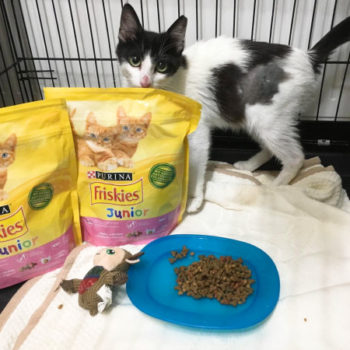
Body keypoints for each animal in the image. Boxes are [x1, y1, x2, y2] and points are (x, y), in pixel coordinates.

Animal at [115, 3, 350, 213]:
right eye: (135, 60)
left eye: (162, 66)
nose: (145, 81)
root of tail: (307, 57)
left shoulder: (199, 131)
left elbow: (197, 161)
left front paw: (194, 200)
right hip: (253, 114)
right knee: (270, 146)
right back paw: (248, 166)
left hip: (268, 114)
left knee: (295, 157)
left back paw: (274, 188)